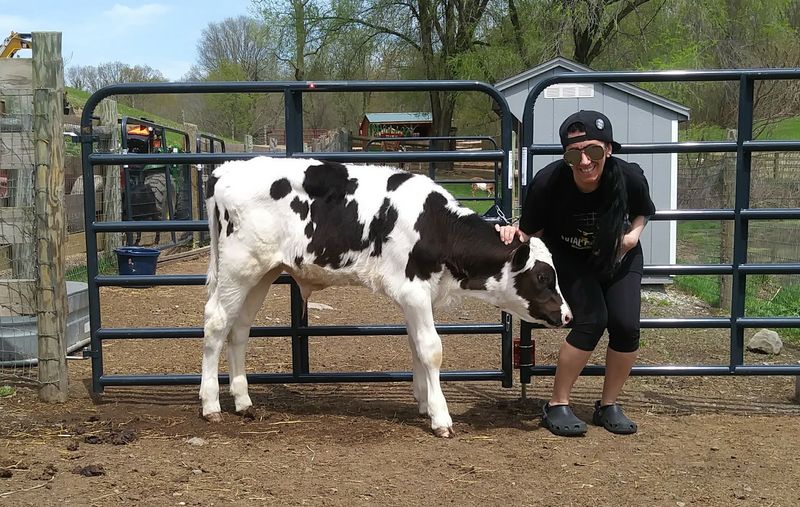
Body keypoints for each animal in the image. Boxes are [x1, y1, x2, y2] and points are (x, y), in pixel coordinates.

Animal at [200, 157, 572, 437]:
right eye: (543, 276)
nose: (567, 315)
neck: (436, 225)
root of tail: (226, 170)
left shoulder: (415, 297)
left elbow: (416, 346)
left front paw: (423, 404)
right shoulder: (414, 290)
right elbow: (431, 349)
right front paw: (440, 417)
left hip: (261, 274)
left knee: (239, 329)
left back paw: (244, 402)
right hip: (238, 268)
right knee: (216, 324)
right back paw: (210, 405)